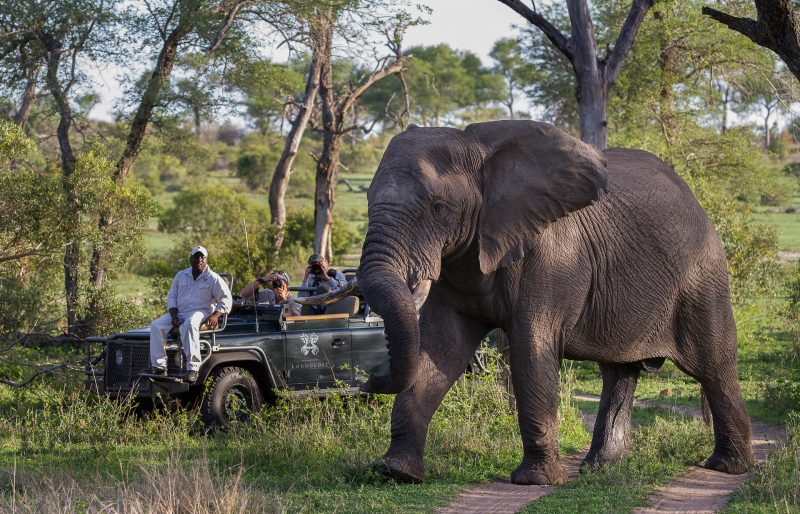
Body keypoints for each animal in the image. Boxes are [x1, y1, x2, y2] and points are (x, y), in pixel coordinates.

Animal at [326, 118, 756, 482]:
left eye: (438, 208)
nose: (368, 381)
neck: (477, 148)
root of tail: (694, 197)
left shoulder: (551, 257)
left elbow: (531, 348)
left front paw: (534, 480)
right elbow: (439, 350)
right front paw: (396, 472)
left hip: (702, 274)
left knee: (714, 364)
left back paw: (727, 468)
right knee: (619, 373)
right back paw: (599, 469)